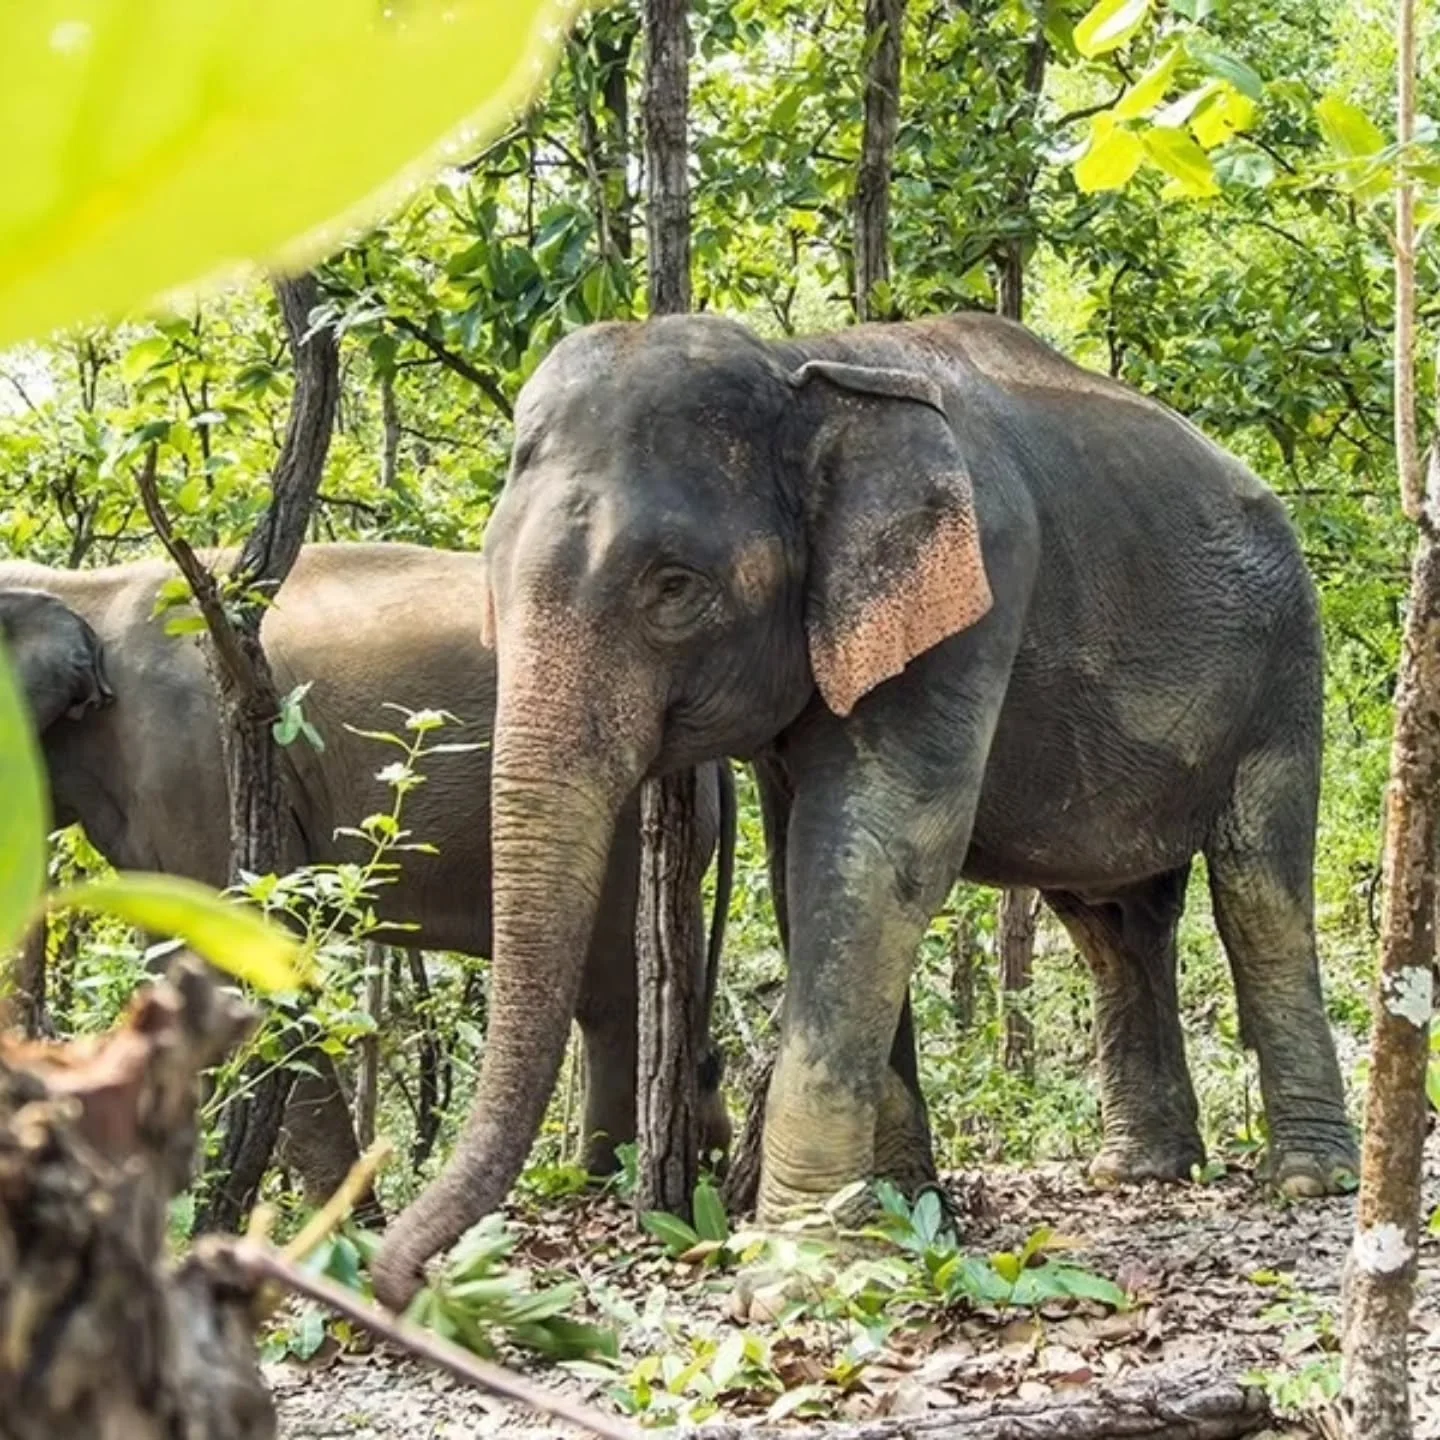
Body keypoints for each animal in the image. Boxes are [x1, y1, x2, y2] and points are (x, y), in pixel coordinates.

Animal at [370, 309, 1356, 1309]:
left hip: (1286, 666)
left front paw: (803, 1266)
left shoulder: (976, 594)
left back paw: (1310, 1180)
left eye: (674, 586)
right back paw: (1138, 1171)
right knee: (1113, 923)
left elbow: (873, 854)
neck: (805, 365)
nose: (399, 1281)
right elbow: (803, 871)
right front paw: (905, 1212)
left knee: (1258, 891)